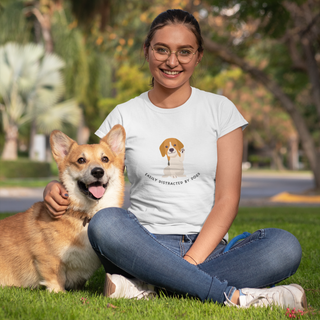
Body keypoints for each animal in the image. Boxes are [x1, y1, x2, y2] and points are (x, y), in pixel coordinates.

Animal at [0, 124, 125, 292]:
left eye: (105, 159)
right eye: (81, 160)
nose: (98, 171)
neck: (85, 214)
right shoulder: (48, 258)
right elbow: (55, 276)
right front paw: (58, 292)